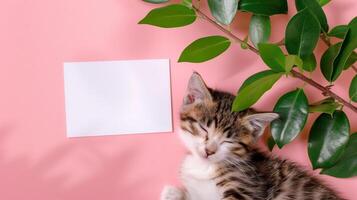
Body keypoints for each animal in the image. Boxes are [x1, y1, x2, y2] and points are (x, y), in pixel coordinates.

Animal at [160, 72, 344, 200]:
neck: (205, 167)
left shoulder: (246, 188)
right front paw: (173, 193)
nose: (209, 151)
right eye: (203, 128)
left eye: (229, 140)